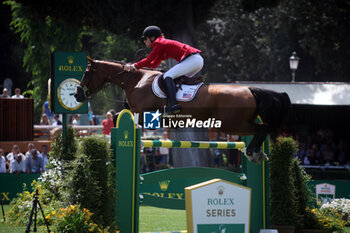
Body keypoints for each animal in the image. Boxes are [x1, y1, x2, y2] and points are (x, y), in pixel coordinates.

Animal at [75, 57, 292, 162]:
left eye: (86, 73)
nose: (77, 95)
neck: (135, 80)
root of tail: (250, 90)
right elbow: (122, 114)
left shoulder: (145, 114)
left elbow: (121, 117)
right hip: (238, 123)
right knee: (261, 128)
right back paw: (256, 153)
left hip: (233, 124)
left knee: (262, 128)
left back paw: (253, 152)